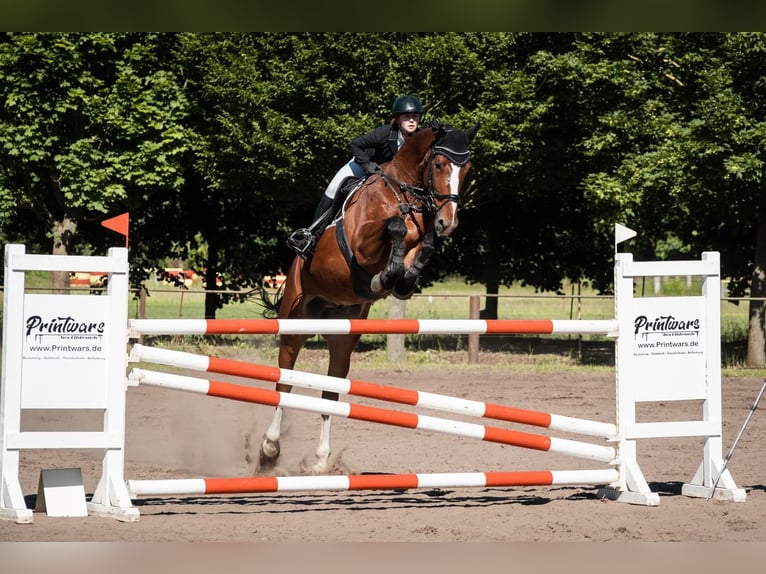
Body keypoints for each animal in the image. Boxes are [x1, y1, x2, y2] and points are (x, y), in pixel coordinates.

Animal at [262, 119, 480, 474]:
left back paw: (321, 461)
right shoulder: (363, 244)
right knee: (285, 381)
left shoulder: (420, 239)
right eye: (438, 164)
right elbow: (394, 227)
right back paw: (269, 449)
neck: (405, 193)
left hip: (343, 336)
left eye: (468, 168)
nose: (448, 223)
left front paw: (399, 277)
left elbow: (423, 246)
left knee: (331, 393)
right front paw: (385, 274)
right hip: (294, 324)